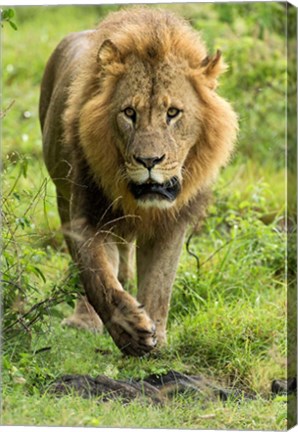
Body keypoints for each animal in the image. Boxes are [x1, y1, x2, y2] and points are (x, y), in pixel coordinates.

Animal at [39, 7, 237, 358]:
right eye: (129, 112)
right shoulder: (88, 213)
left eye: (173, 113)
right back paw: (84, 320)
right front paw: (131, 332)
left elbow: (159, 284)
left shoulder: (172, 222)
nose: (149, 161)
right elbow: (97, 277)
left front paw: (157, 340)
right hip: (63, 197)